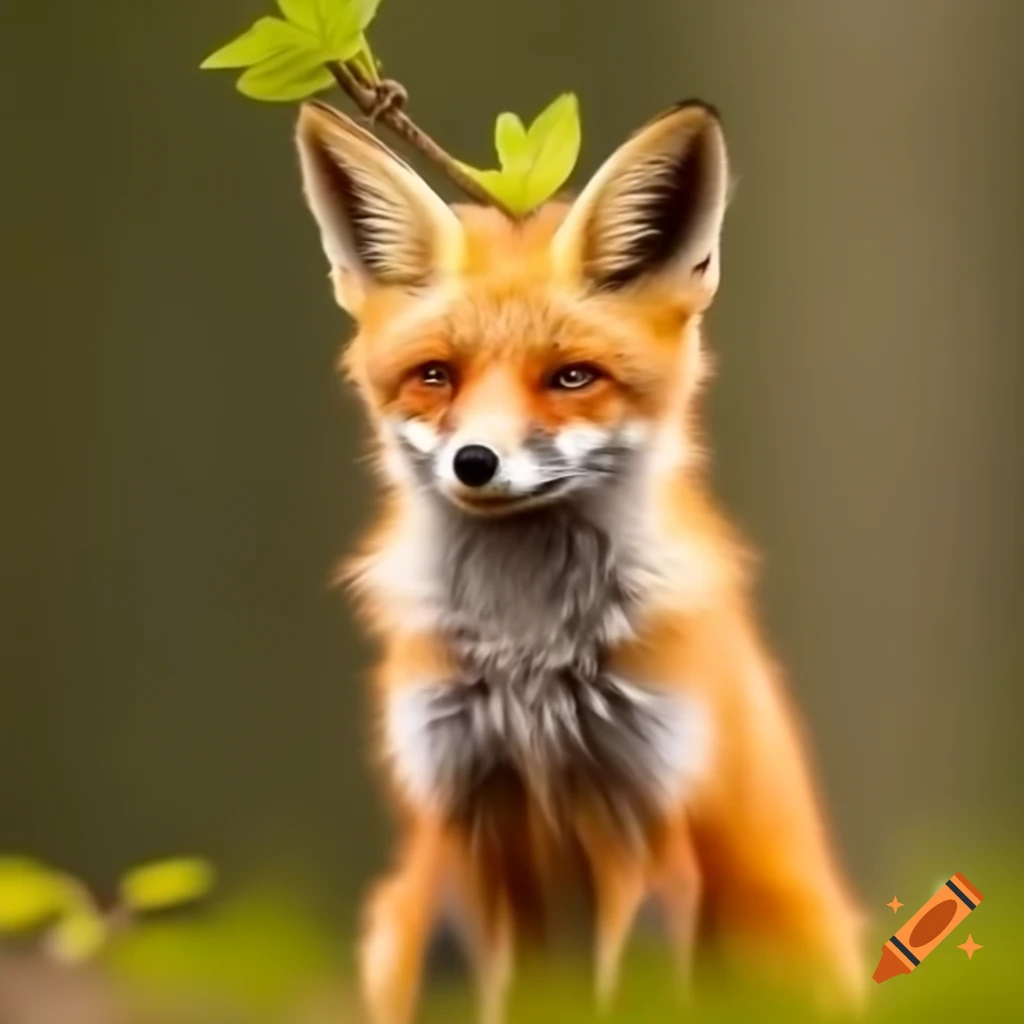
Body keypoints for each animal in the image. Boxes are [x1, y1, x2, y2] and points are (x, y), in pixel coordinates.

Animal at [292, 97, 867, 1023]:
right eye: (435, 376)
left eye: (571, 378)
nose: (476, 463)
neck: (529, 667)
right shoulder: (470, 826)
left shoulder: (646, 827)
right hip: (406, 919)